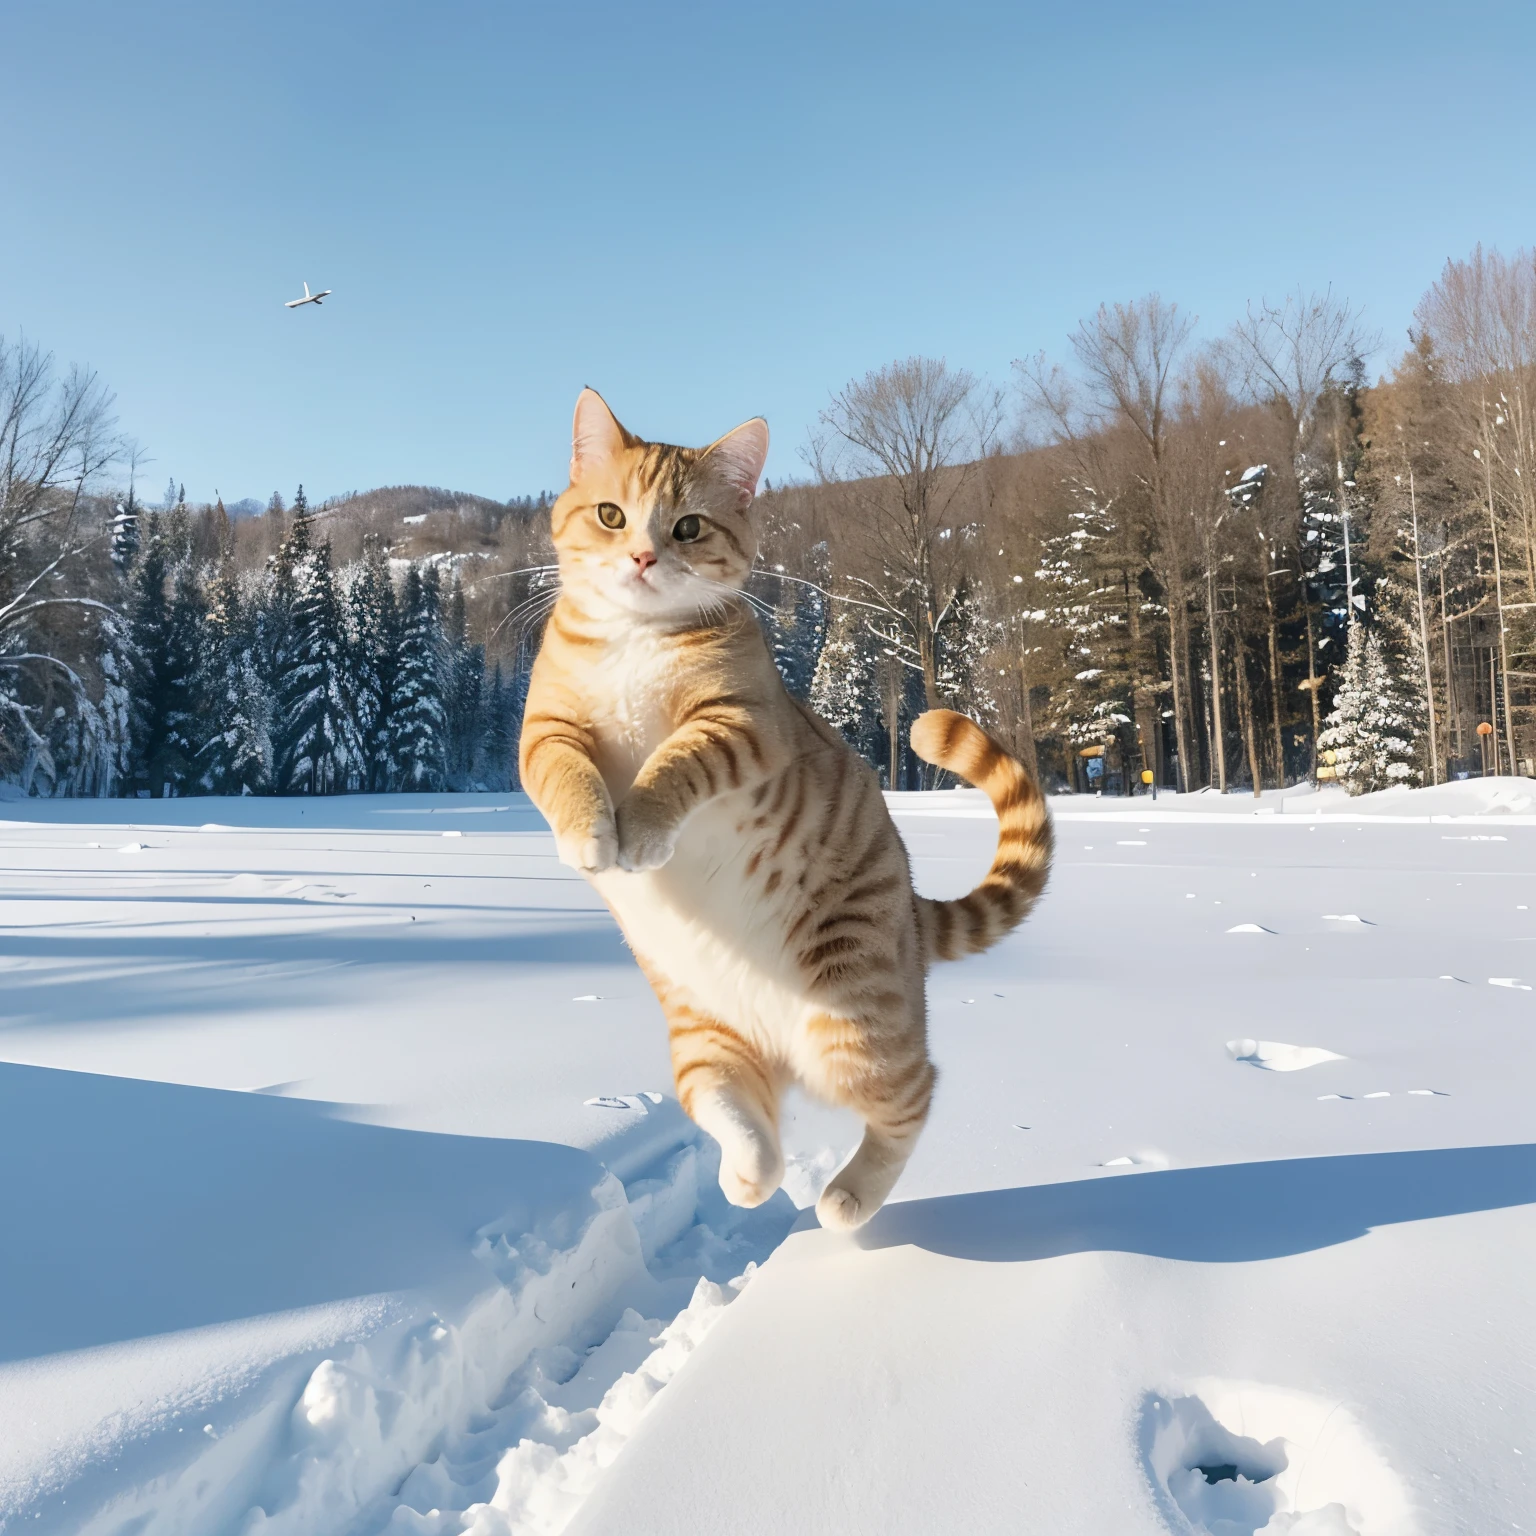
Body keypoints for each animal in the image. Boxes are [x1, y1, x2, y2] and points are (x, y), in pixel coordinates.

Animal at [522, 390, 1050, 1228]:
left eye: (688, 527)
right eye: (610, 514)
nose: (642, 557)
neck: (637, 641)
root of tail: (910, 907)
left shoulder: (740, 724)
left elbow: (673, 767)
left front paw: (639, 833)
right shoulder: (545, 728)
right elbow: (563, 774)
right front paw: (592, 837)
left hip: (853, 1017)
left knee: (916, 1093)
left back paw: (847, 1197)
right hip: (706, 1035)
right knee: (743, 1117)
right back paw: (749, 1177)